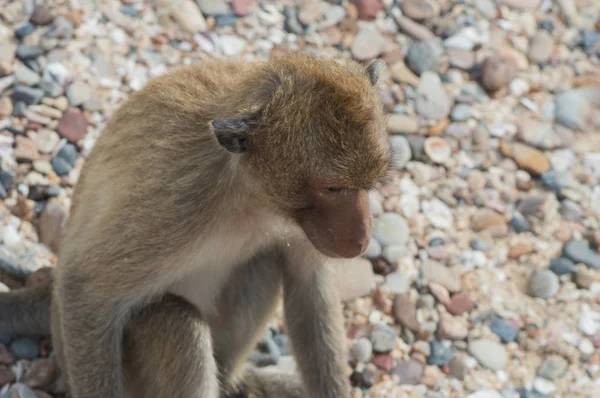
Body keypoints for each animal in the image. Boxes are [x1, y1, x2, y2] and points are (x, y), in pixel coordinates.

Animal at [0, 53, 392, 398]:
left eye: (368, 184)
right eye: (333, 189)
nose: (361, 238)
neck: (250, 196)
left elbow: (308, 292)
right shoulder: (176, 202)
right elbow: (85, 291)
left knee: (265, 261)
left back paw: (232, 380)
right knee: (176, 322)